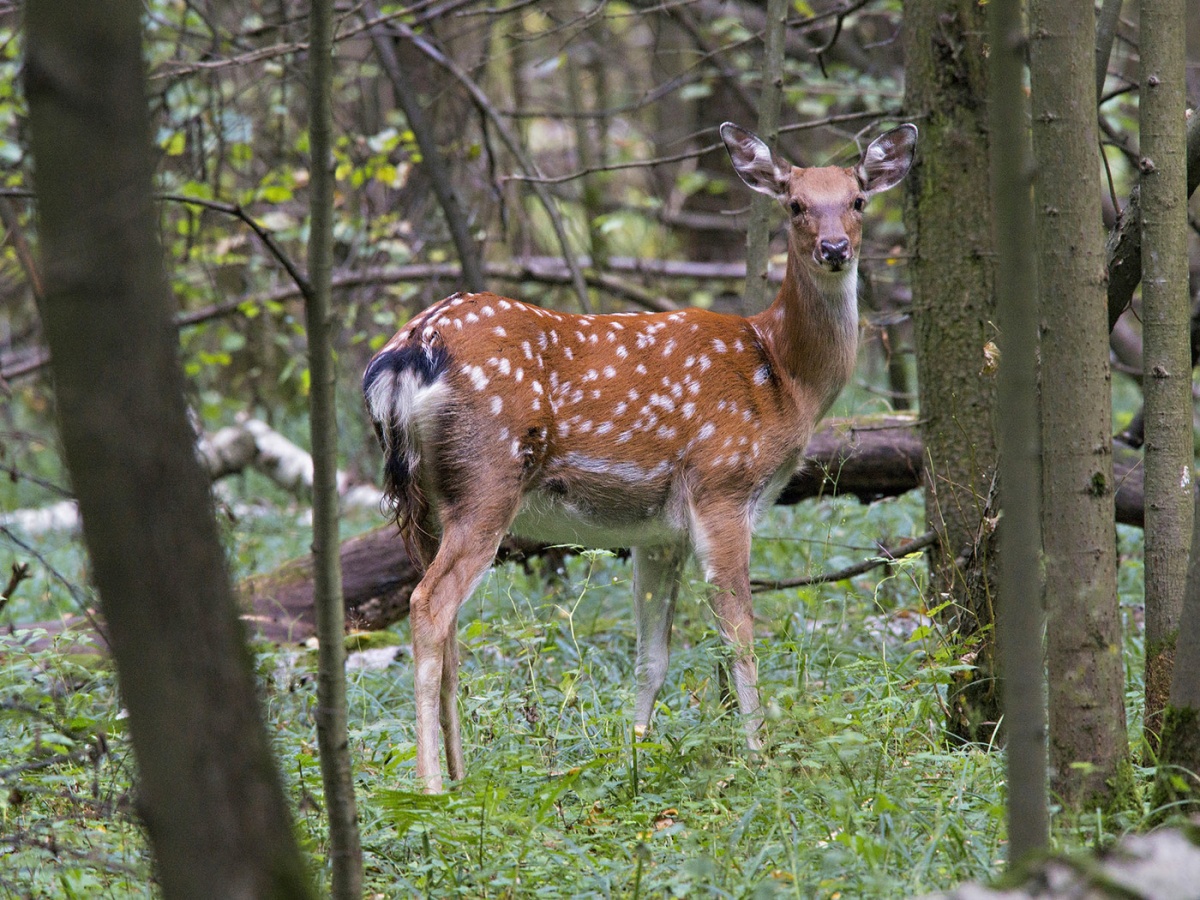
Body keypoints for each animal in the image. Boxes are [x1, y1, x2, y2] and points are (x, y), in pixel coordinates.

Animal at [364, 118, 916, 787]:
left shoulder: (657, 534)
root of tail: (408, 352)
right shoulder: (722, 484)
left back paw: (461, 773)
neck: (784, 374)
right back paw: (433, 786)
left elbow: (652, 657)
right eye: (795, 204)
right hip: (488, 480)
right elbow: (739, 635)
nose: (835, 248)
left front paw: (634, 760)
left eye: (858, 200)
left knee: (442, 621)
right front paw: (759, 756)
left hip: (423, 498)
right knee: (428, 606)